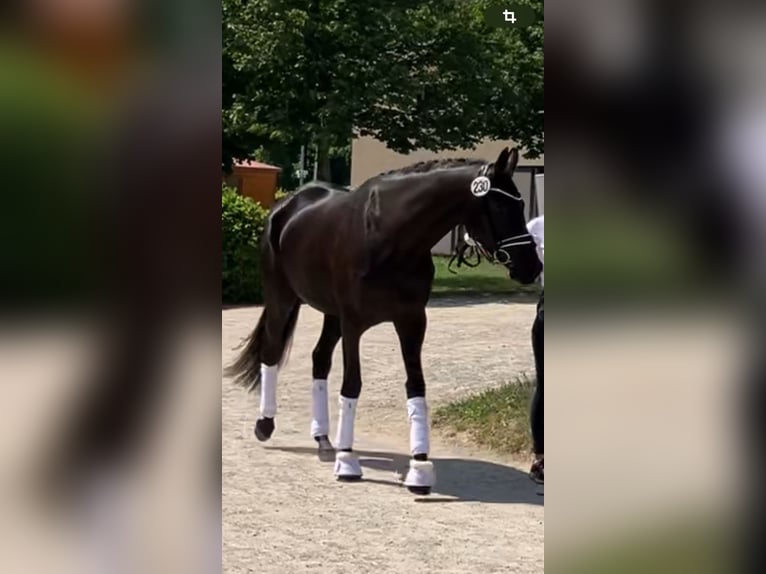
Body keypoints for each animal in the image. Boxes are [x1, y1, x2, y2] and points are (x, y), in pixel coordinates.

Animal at [225, 147, 544, 496]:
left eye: (520, 203)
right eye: (499, 205)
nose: (531, 266)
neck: (389, 235)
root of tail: (285, 207)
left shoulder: (412, 321)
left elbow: (416, 385)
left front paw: (420, 468)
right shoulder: (353, 323)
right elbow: (352, 384)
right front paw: (348, 462)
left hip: (331, 315)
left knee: (319, 359)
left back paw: (323, 438)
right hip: (282, 298)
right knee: (271, 352)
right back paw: (266, 425)